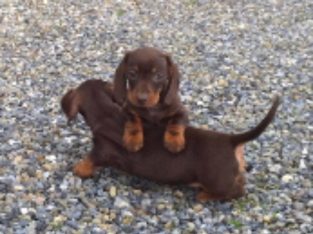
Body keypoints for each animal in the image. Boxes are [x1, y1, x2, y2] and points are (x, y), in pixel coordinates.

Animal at [60, 79, 278, 202]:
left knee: (236, 192)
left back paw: (205, 195)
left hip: (215, 180)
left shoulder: (102, 150)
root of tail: (232, 140)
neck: (105, 112)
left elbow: (89, 160)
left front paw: (79, 169)